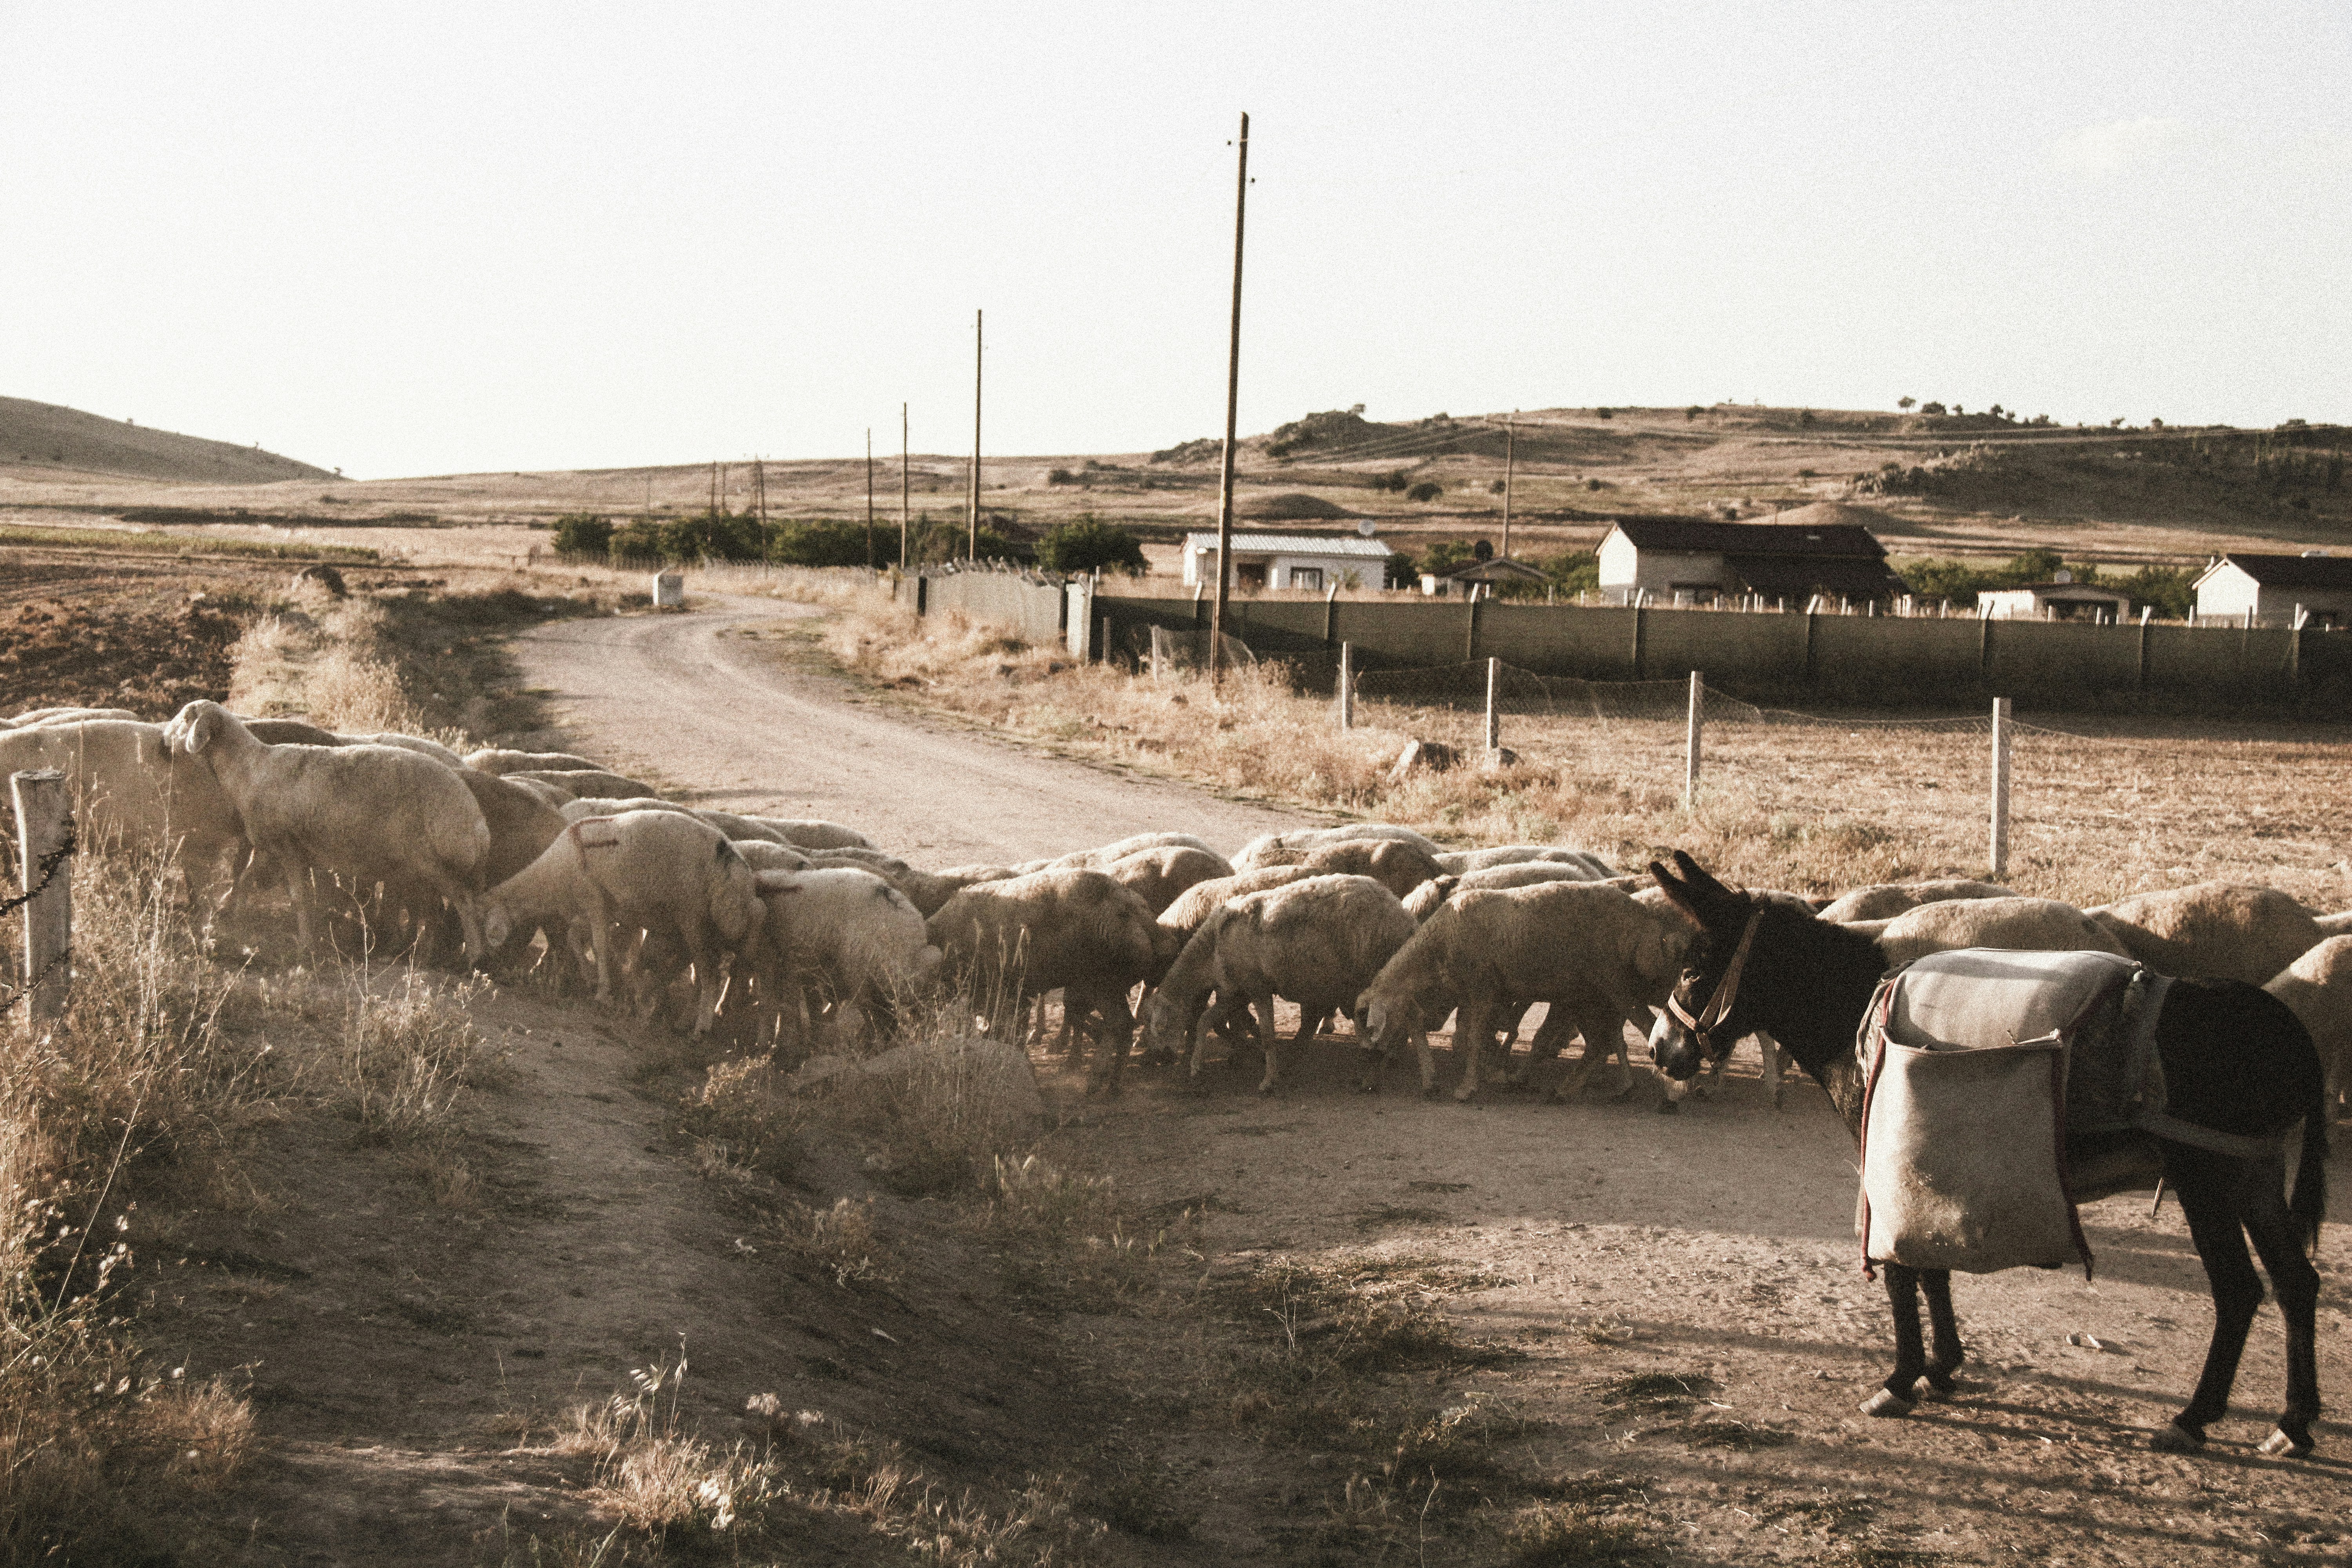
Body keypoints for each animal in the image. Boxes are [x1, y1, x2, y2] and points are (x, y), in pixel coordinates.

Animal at [162, 701, 490, 959]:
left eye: (185, 717)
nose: (163, 741)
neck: (249, 769)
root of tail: (476, 822)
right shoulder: (272, 846)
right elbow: (247, 879)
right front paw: (228, 911)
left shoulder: (288, 847)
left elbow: (299, 897)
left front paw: (306, 946)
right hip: (420, 865)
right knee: (435, 908)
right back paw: (419, 953)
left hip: (430, 859)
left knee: (459, 902)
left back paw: (469, 956)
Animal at [482, 810, 762, 1034]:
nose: (489, 968)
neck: (551, 878)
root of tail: (738, 871)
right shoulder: (608, 910)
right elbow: (585, 941)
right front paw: (602, 980)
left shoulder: (594, 901)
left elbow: (600, 947)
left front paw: (603, 993)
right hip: (721, 925)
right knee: (729, 966)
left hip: (696, 919)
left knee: (711, 975)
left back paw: (702, 1027)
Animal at [926, 868, 1168, 1089]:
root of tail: (1141, 915)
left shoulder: (1000, 995)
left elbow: (1005, 1032)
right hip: (1106, 990)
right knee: (1118, 1026)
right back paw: (1109, 1083)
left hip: (1101, 988)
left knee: (1118, 1026)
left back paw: (1098, 1083)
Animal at [1145, 874, 1417, 1093]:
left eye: (1160, 1027)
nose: (1159, 1059)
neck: (1211, 950)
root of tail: (1404, 916)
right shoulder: (1237, 991)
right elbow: (1205, 1021)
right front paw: (1196, 1069)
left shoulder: (1258, 988)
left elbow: (1267, 1035)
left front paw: (1268, 1082)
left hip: (1374, 977)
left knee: (1392, 1026)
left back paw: (1377, 1073)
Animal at [1359, 882, 1676, 1101]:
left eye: (1372, 1026)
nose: (1370, 1070)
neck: (1438, 944)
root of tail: (1645, 921)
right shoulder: (1473, 996)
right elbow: (1475, 1037)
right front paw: (1486, 1075)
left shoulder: (1482, 991)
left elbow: (1474, 1039)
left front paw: (1467, 1088)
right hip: (1588, 995)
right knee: (1602, 1043)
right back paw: (1571, 1090)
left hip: (1617, 986)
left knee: (1645, 1028)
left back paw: (1670, 1091)